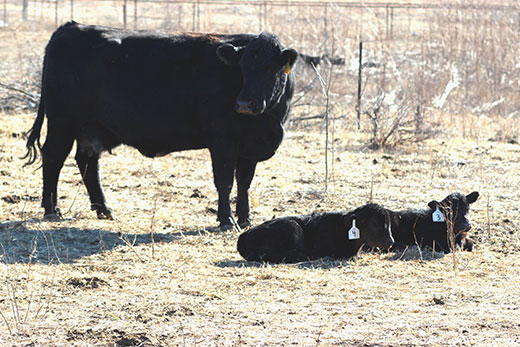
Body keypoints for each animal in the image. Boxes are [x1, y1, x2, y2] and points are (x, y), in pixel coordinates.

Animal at [24, 20, 298, 230]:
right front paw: (226, 220)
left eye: (271, 68)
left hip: (90, 127)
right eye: (243, 67)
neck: (267, 122)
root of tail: (70, 26)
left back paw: (104, 209)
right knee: (53, 157)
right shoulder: (223, 140)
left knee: (87, 161)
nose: (244, 104)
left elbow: (244, 182)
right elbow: (225, 181)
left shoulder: (249, 146)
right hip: (62, 121)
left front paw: (245, 219)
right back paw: (52, 209)